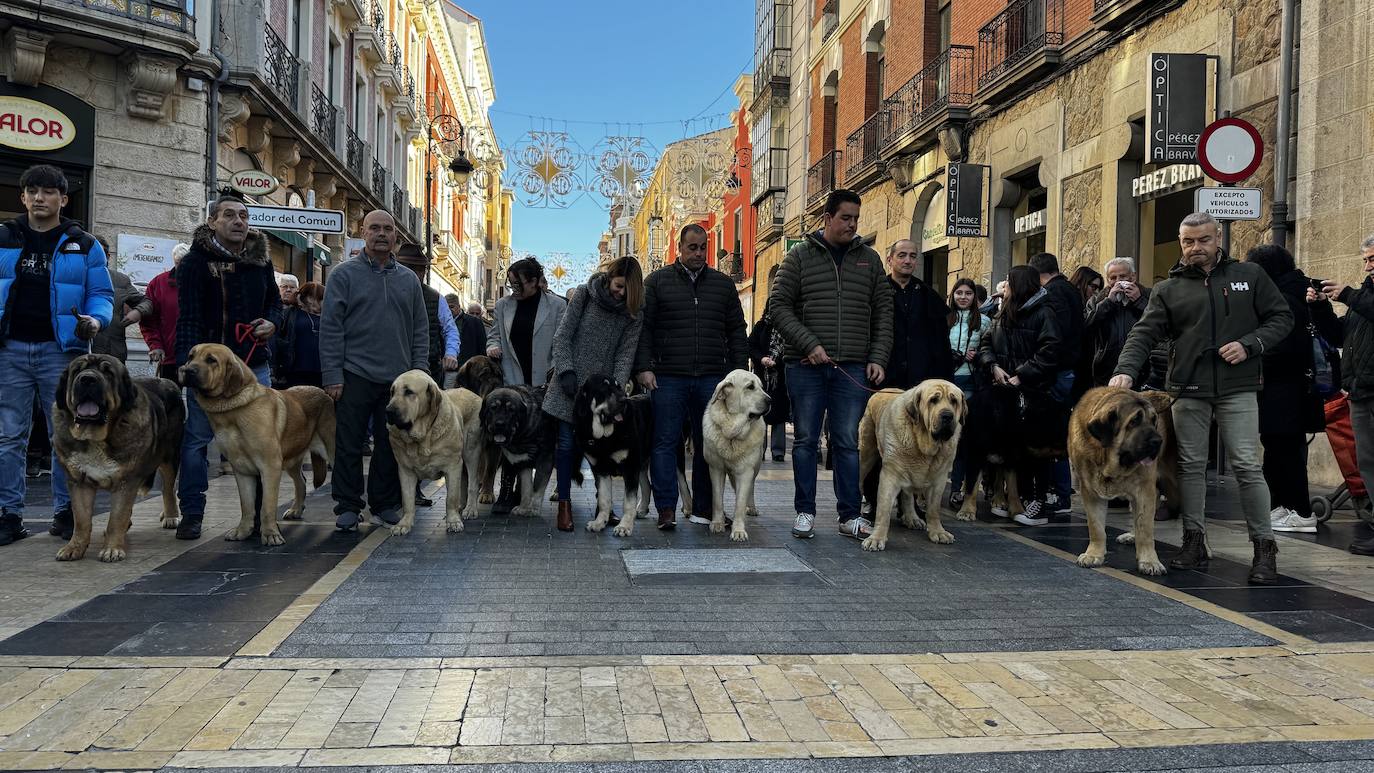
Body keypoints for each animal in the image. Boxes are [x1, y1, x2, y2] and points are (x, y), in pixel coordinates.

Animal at [179, 341, 335, 546]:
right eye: (190, 357)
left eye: (211, 360)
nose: (187, 370)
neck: (232, 411)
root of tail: (324, 392)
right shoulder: (242, 470)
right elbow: (247, 506)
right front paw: (243, 531)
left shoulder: (270, 467)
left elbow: (266, 506)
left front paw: (270, 534)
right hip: (292, 458)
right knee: (301, 481)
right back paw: (296, 510)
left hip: (332, 450)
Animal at [387, 370, 472, 535]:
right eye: (392, 392)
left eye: (409, 392)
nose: (388, 411)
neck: (422, 436)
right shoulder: (405, 470)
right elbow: (407, 500)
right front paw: (404, 524)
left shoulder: (453, 466)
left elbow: (451, 497)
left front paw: (453, 521)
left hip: (473, 455)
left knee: (474, 484)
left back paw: (470, 509)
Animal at [857, 378, 967, 549]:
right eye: (933, 400)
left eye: (954, 401)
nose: (947, 415)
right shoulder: (890, 475)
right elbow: (883, 510)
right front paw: (876, 538)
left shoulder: (939, 479)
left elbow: (933, 509)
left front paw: (938, 532)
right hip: (866, 455)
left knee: (907, 494)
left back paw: (912, 518)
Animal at [1066, 387, 1176, 573]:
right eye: (1134, 421)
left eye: (1154, 420)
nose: (1157, 441)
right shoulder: (1090, 492)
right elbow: (1096, 527)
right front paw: (1094, 555)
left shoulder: (1144, 490)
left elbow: (1145, 529)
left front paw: (1149, 561)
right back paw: (1132, 535)